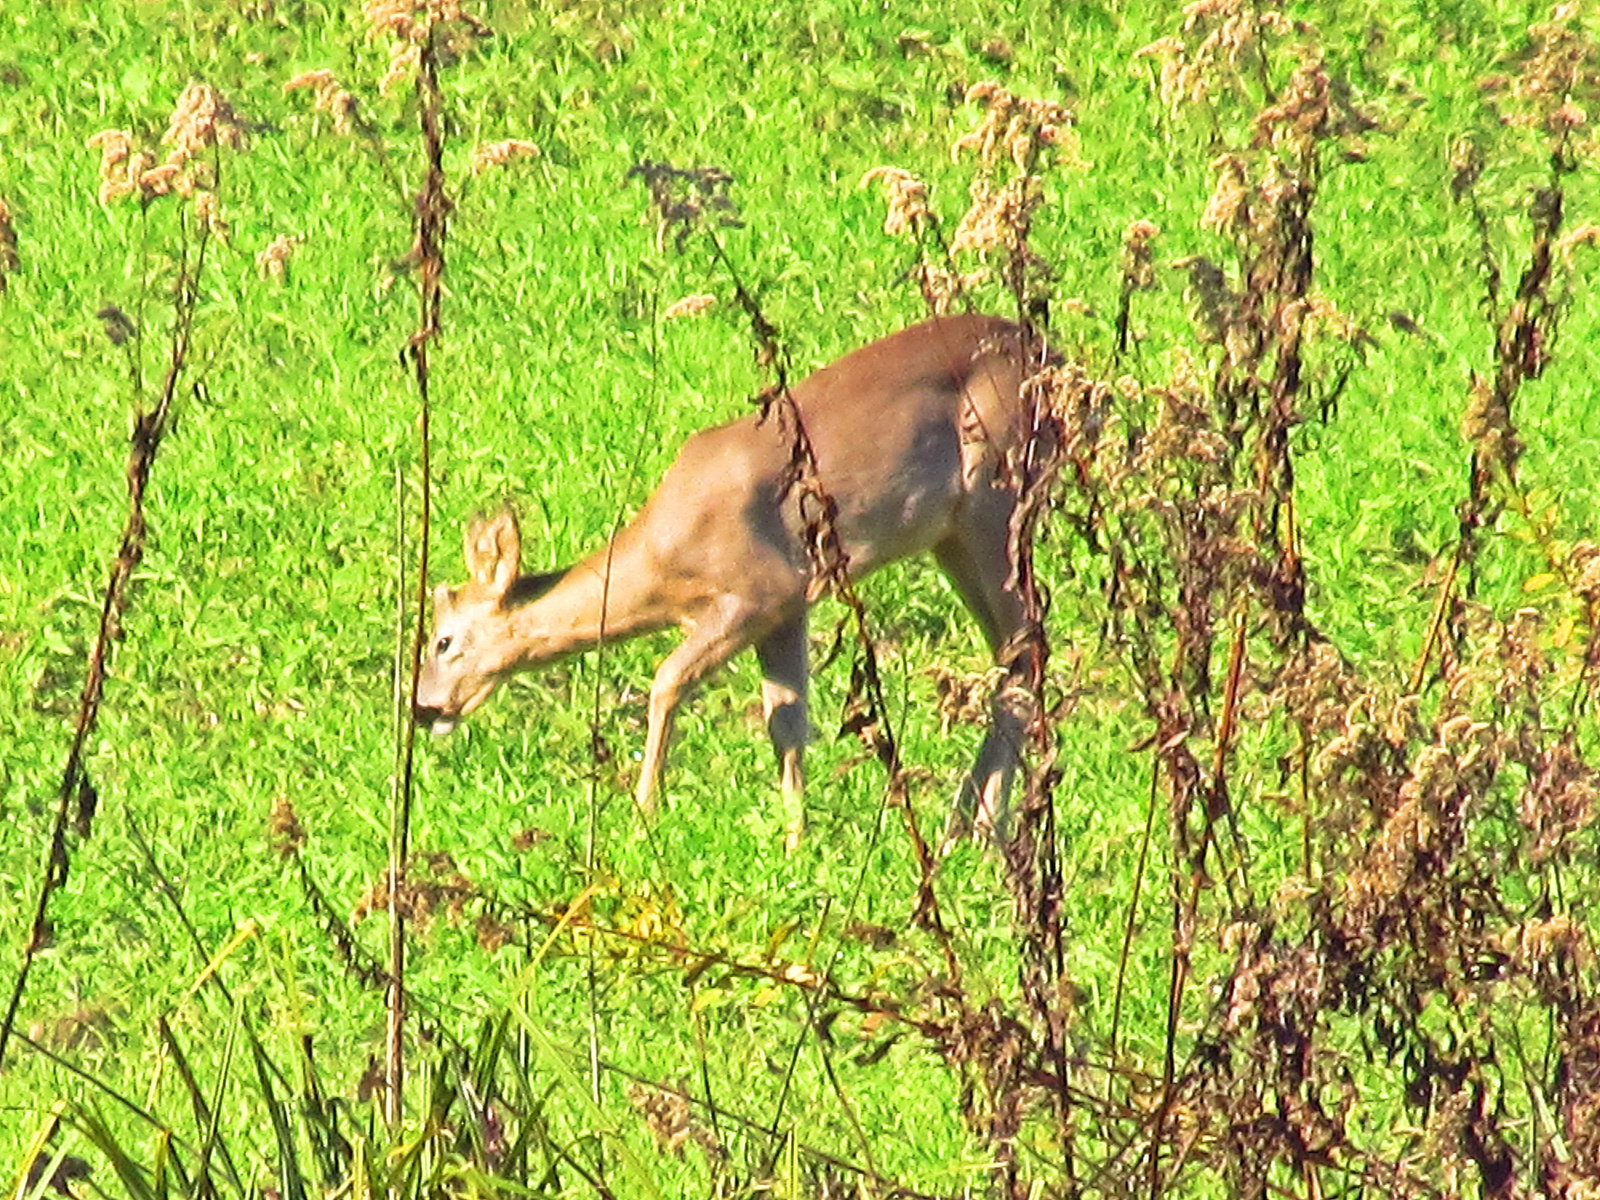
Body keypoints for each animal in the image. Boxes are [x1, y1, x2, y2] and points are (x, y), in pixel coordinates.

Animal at [419, 315, 1056, 851]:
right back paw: (973, 826)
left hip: (994, 498)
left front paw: (645, 815)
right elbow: (787, 721)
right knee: (1013, 653)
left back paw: (978, 830)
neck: (663, 561)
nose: (423, 708)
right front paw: (796, 844)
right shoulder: (789, 608)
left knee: (1025, 648)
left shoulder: (757, 591)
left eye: (443, 641)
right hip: (950, 536)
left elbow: (668, 681)